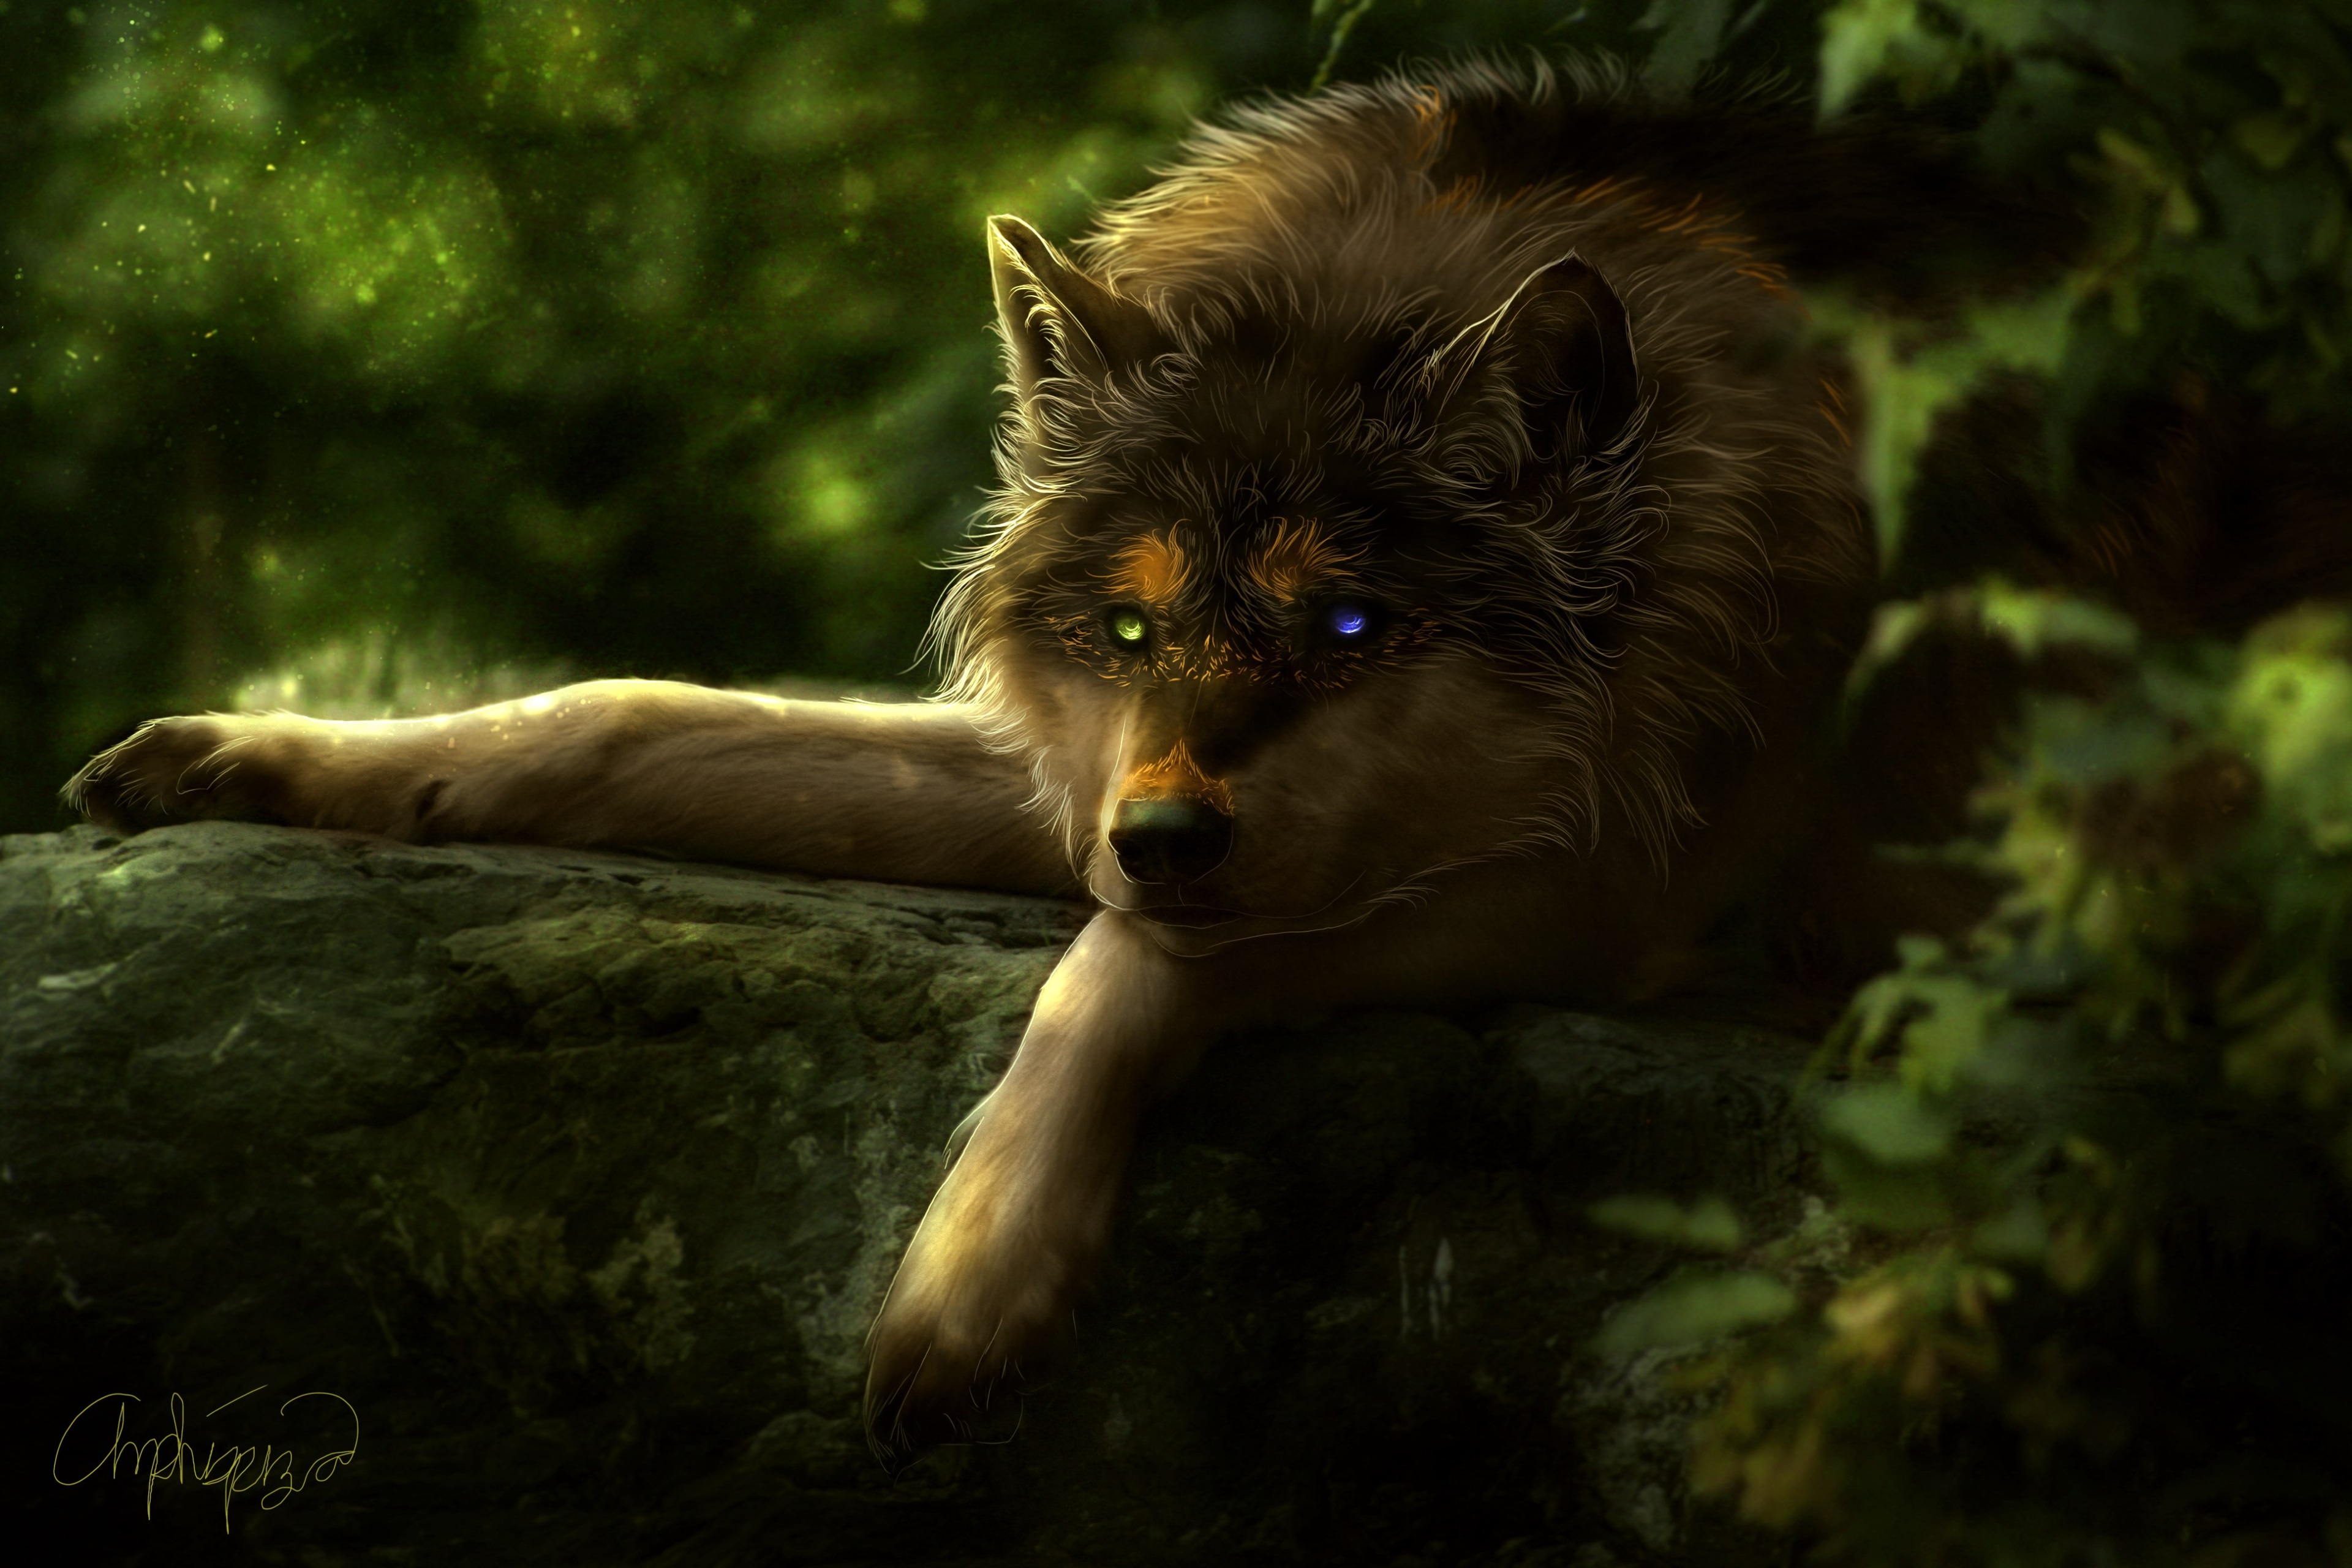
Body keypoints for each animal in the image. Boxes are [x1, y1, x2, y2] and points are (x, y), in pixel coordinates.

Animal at [63, 60, 2331, 1457]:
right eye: (1137, 629)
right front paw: (255, 757)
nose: (1163, 834)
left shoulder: (1622, 894)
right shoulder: (1072, 784)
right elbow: (628, 717)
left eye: (1348, 632)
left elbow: (1137, 967)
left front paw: (967, 1292)